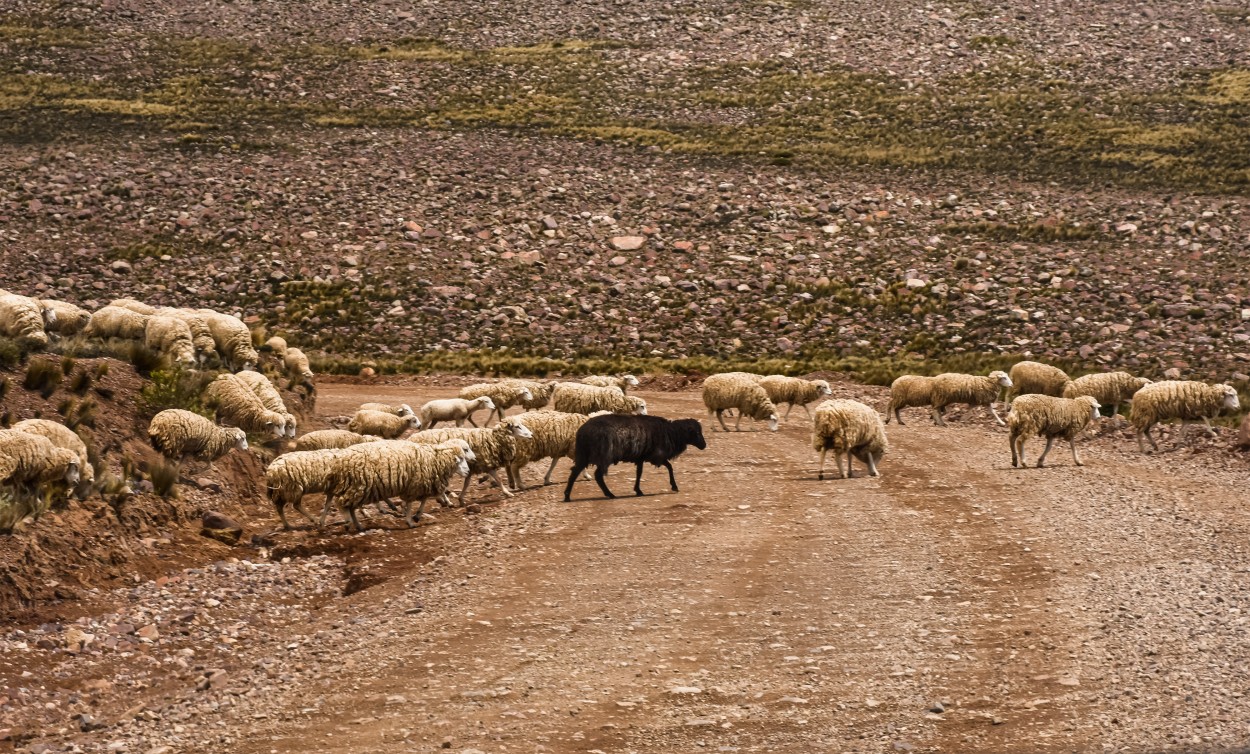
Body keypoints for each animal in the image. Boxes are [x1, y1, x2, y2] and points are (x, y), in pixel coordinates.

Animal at [322, 440, 472, 535]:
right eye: (460, 459)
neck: (434, 459)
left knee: (351, 507)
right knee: (342, 504)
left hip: (358, 489)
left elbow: (423, 501)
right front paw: (410, 521)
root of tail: (339, 461)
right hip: (357, 485)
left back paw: (358, 526)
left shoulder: (422, 484)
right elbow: (411, 503)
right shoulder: (415, 484)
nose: (468, 471)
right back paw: (347, 523)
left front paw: (416, 516)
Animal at [565, 412, 710, 502]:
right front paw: (674, 486)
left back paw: (567, 496)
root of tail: (582, 432)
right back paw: (610, 494)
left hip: (583, 454)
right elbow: (670, 467)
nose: (704, 445)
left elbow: (639, 473)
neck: (671, 432)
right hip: (603, 455)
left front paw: (638, 490)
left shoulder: (641, 457)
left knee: (574, 472)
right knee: (598, 475)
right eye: (697, 433)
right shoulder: (656, 456)